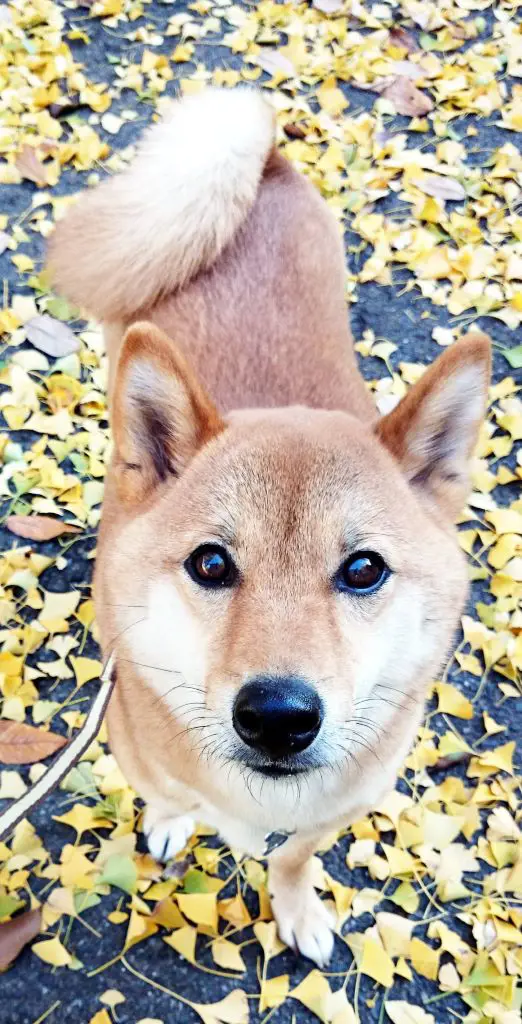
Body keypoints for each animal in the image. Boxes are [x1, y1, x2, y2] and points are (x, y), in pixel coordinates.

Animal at [46, 90, 491, 966]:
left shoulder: (330, 814)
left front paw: (297, 910)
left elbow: (293, 861)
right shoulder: (142, 758)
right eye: (211, 565)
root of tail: (266, 158)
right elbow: (167, 800)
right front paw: (173, 824)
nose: (279, 717)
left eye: (363, 569)